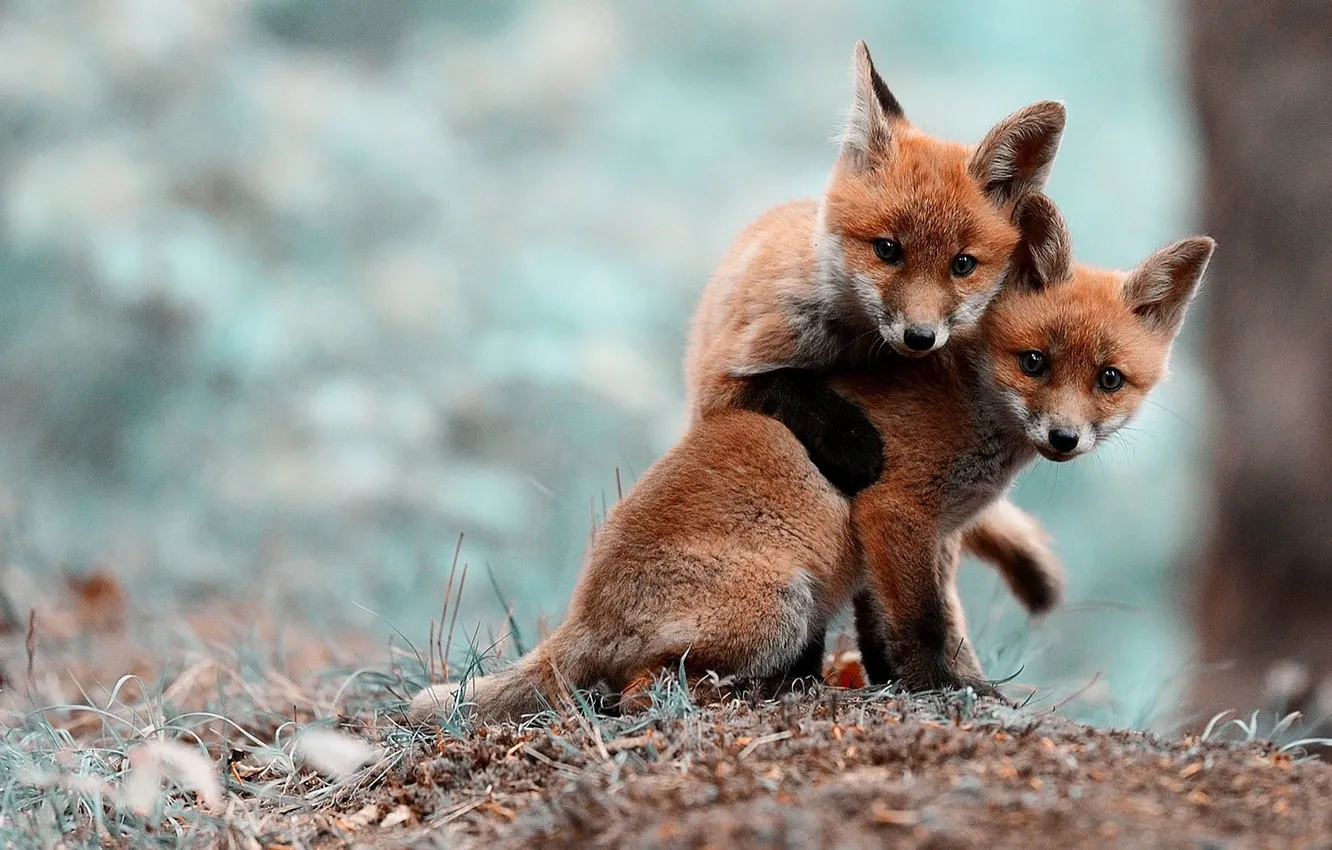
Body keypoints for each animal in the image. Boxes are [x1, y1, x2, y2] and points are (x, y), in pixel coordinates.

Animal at [410, 194, 1215, 721]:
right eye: (1035, 363)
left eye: (1109, 379)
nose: (1064, 439)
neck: (970, 404)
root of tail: (584, 609)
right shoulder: (894, 511)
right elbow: (925, 627)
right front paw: (951, 692)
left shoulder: (928, 538)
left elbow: (907, 629)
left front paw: (926, 683)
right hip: (782, 605)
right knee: (634, 691)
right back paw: (741, 694)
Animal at [684, 41, 1068, 621]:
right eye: (887, 250)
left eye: (962, 265)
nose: (920, 337)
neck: (852, 348)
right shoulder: (724, 382)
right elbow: (786, 387)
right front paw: (855, 443)